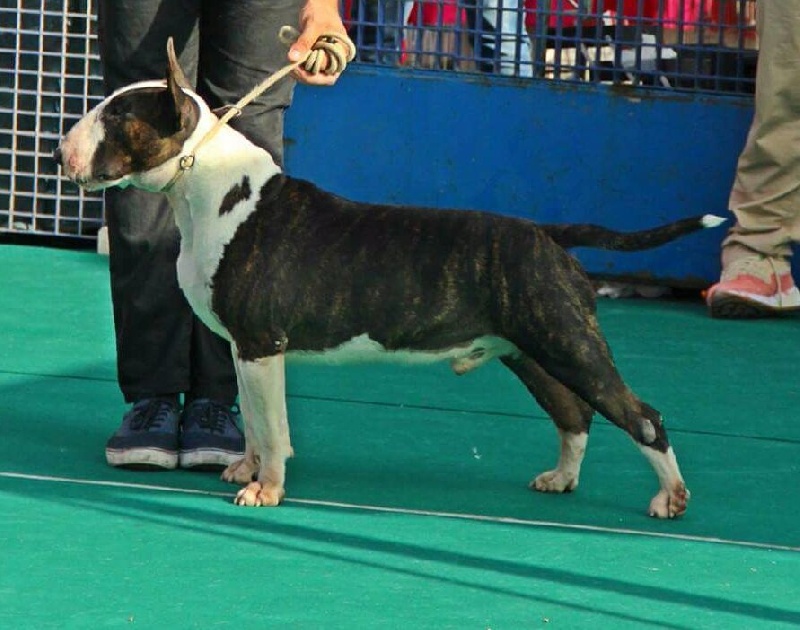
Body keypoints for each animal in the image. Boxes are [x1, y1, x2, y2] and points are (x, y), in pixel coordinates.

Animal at [56, 39, 722, 517]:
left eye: (117, 115)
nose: (61, 152)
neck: (208, 188)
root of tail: (549, 235)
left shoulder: (261, 344)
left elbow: (272, 426)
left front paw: (265, 490)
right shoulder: (245, 350)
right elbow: (254, 424)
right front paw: (245, 469)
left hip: (568, 342)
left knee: (641, 415)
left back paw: (670, 498)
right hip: (531, 351)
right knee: (574, 413)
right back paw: (561, 478)